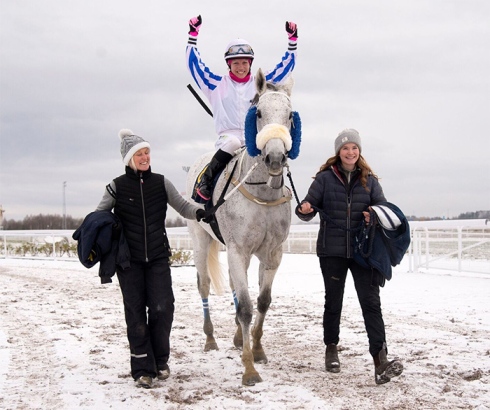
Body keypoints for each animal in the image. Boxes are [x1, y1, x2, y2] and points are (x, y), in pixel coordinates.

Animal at [186, 67, 300, 384]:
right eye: (259, 113)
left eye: (289, 115)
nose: (275, 157)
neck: (263, 191)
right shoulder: (238, 249)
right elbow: (247, 307)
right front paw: (249, 368)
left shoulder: (272, 253)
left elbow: (262, 301)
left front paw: (257, 350)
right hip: (200, 239)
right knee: (204, 285)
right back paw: (210, 339)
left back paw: (238, 338)